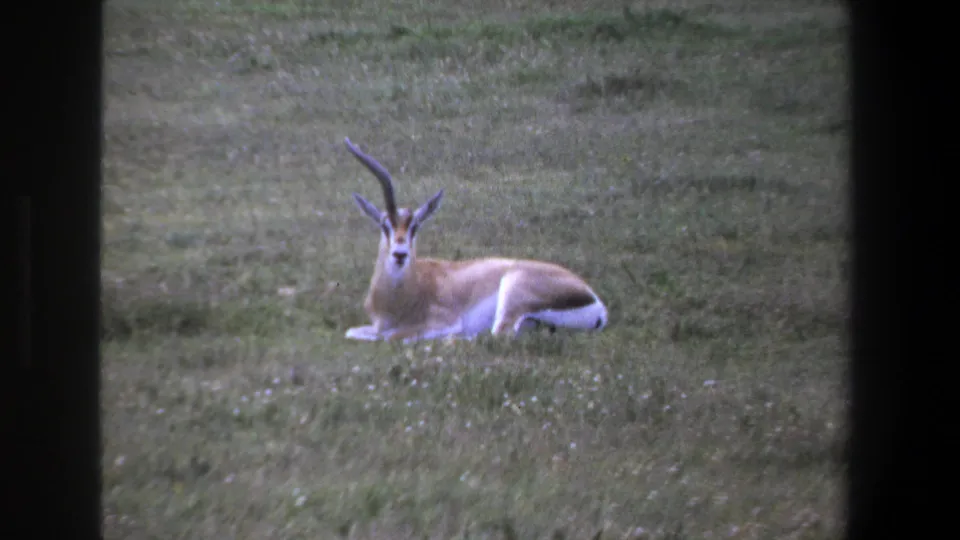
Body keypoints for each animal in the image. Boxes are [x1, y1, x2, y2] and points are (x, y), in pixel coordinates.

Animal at [342, 137, 608, 343]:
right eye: (384, 225)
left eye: (415, 227)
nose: (400, 254)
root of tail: (596, 302)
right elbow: (353, 332)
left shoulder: (444, 322)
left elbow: (391, 336)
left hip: (511, 293)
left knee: (497, 335)